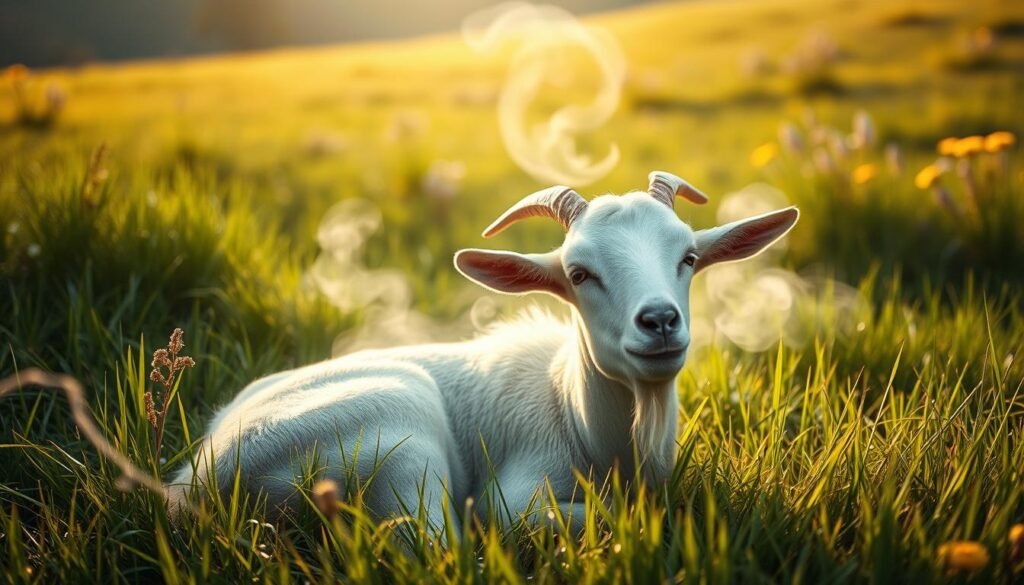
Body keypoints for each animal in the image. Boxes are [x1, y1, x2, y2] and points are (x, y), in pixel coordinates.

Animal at [167, 171, 798, 532]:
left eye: (688, 257)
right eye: (578, 273)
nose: (660, 322)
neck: (574, 413)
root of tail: (193, 486)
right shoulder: (515, 495)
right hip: (403, 435)